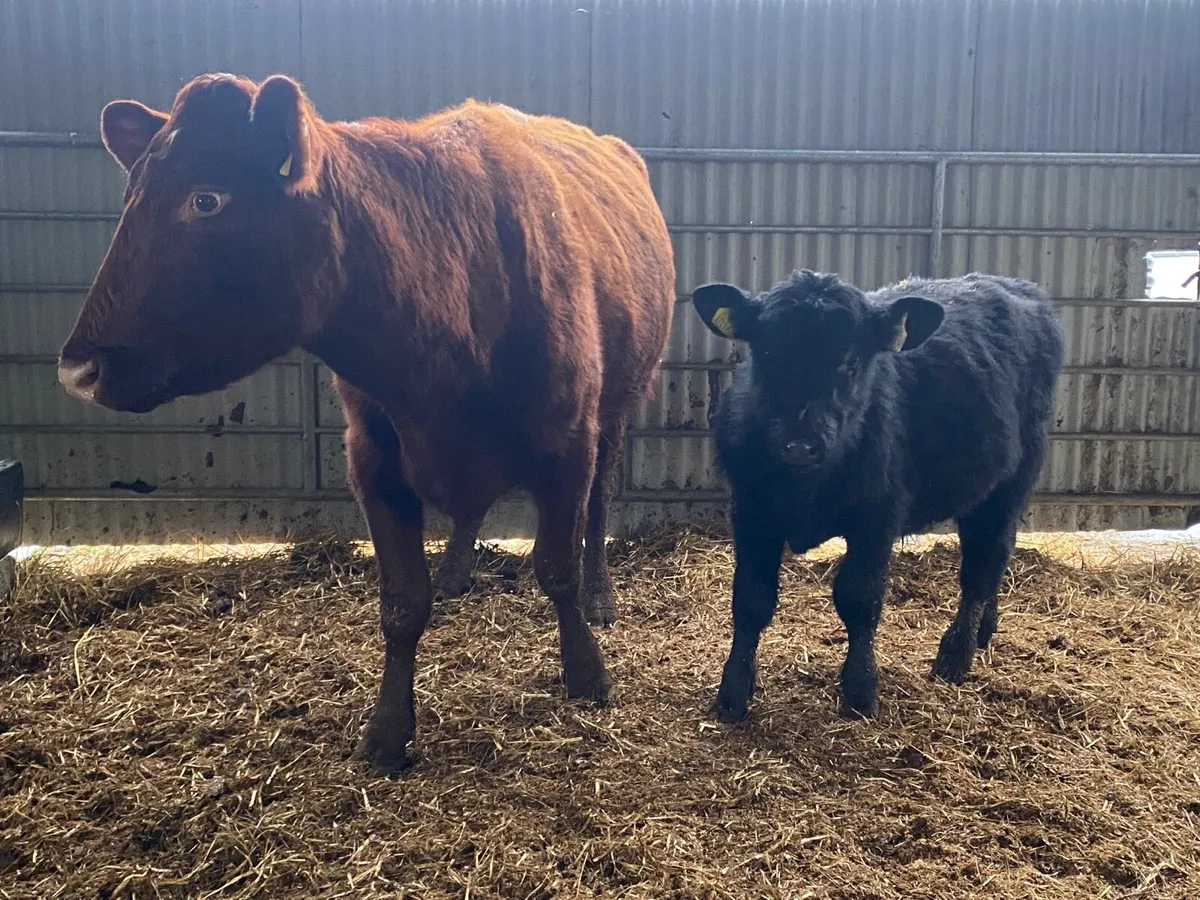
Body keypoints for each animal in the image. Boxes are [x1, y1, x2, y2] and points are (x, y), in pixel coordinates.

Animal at [57, 73, 675, 774]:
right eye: (131, 196)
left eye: (205, 198)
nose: (78, 368)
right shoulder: (374, 461)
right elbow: (403, 603)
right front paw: (387, 730)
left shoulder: (567, 442)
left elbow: (556, 566)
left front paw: (587, 672)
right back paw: (456, 573)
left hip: (620, 403)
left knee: (599, 503)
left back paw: (601, 596)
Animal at [691, 270, 1063, 723]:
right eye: (766, 353)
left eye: (851, 361)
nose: (800, 444)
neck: (805, 486)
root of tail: (1014, 285)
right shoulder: (750, 513)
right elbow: (750, 599)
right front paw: (733, 693)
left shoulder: (877, 518)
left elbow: (858, 598)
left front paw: (860, 689)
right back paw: (984, 630)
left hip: (1014, 478)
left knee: (984, 563)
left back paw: (956, 654)